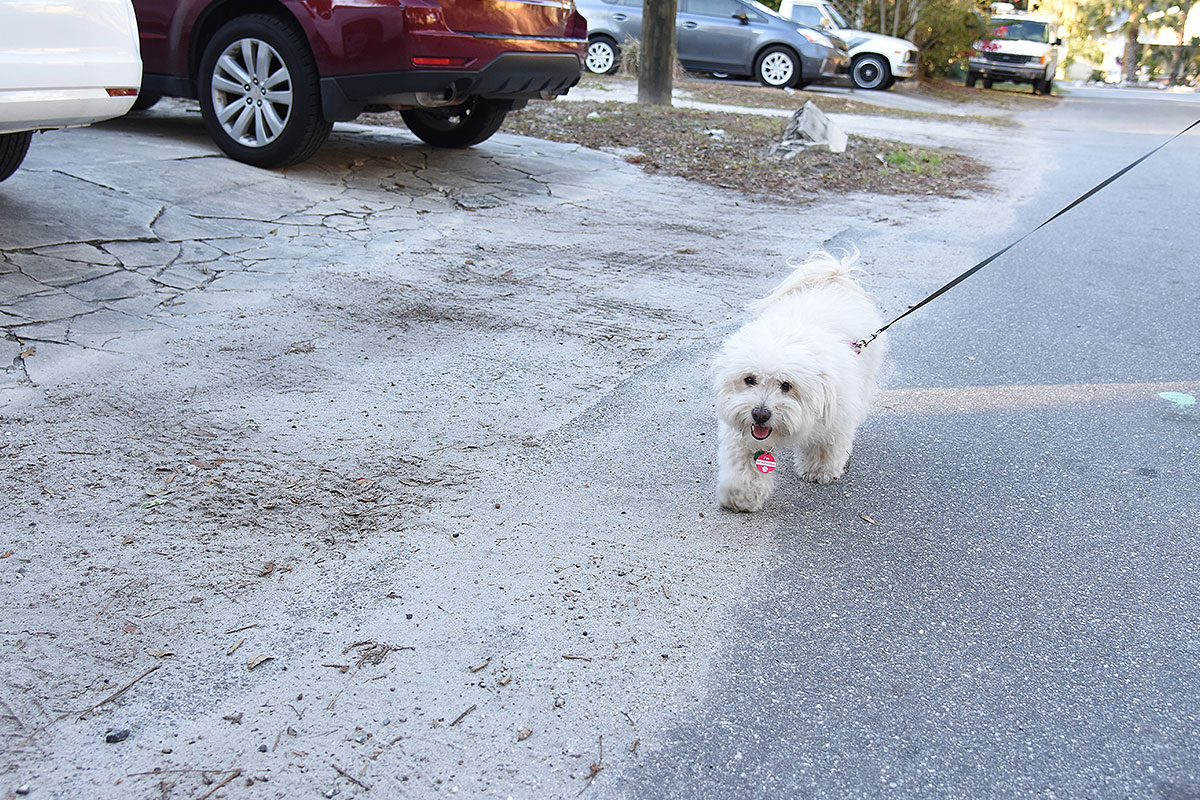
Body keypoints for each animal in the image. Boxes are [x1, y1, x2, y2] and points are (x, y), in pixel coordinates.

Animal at [710, 250, 892, 513]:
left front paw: (820, 470)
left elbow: (825, 446)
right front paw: (740, 496)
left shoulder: (836, 417)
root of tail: (834, 278)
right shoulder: (743, 435)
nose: (760, 414)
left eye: (786, 386)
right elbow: (746, 467)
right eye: (749, 379)